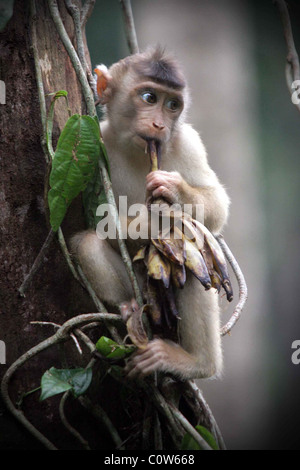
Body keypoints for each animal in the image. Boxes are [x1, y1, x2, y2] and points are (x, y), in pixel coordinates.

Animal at [70, 46, 230, 380]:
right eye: (149, 98)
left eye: (172, 105)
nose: (159, 125)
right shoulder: (92, 148)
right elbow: (97, 220)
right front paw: (151, 222)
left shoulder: (189, 142)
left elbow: (216, 204)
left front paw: (173, 191)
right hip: (148, 295)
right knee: (88, 244)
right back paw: (130, 308)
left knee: (192, 262)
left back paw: (197, 363)